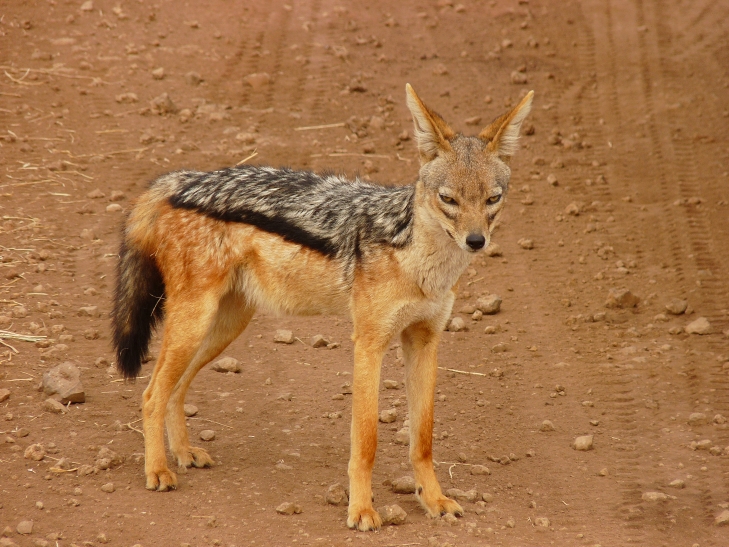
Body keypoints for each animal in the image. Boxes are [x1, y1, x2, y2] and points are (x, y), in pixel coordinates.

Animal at [112, 84, 533, 531]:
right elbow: (366, 440)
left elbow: (423, 438)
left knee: (176, 389)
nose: (476, 241)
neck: (421, 265)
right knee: (152, 393)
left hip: (224, 327)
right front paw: (362, 510)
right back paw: (158, 469)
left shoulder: (425, 341)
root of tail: (180, 179)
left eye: (492, 199)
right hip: (195, 325)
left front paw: (433, 499)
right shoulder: (368, 343)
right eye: (448, 199)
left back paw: (184, 454)